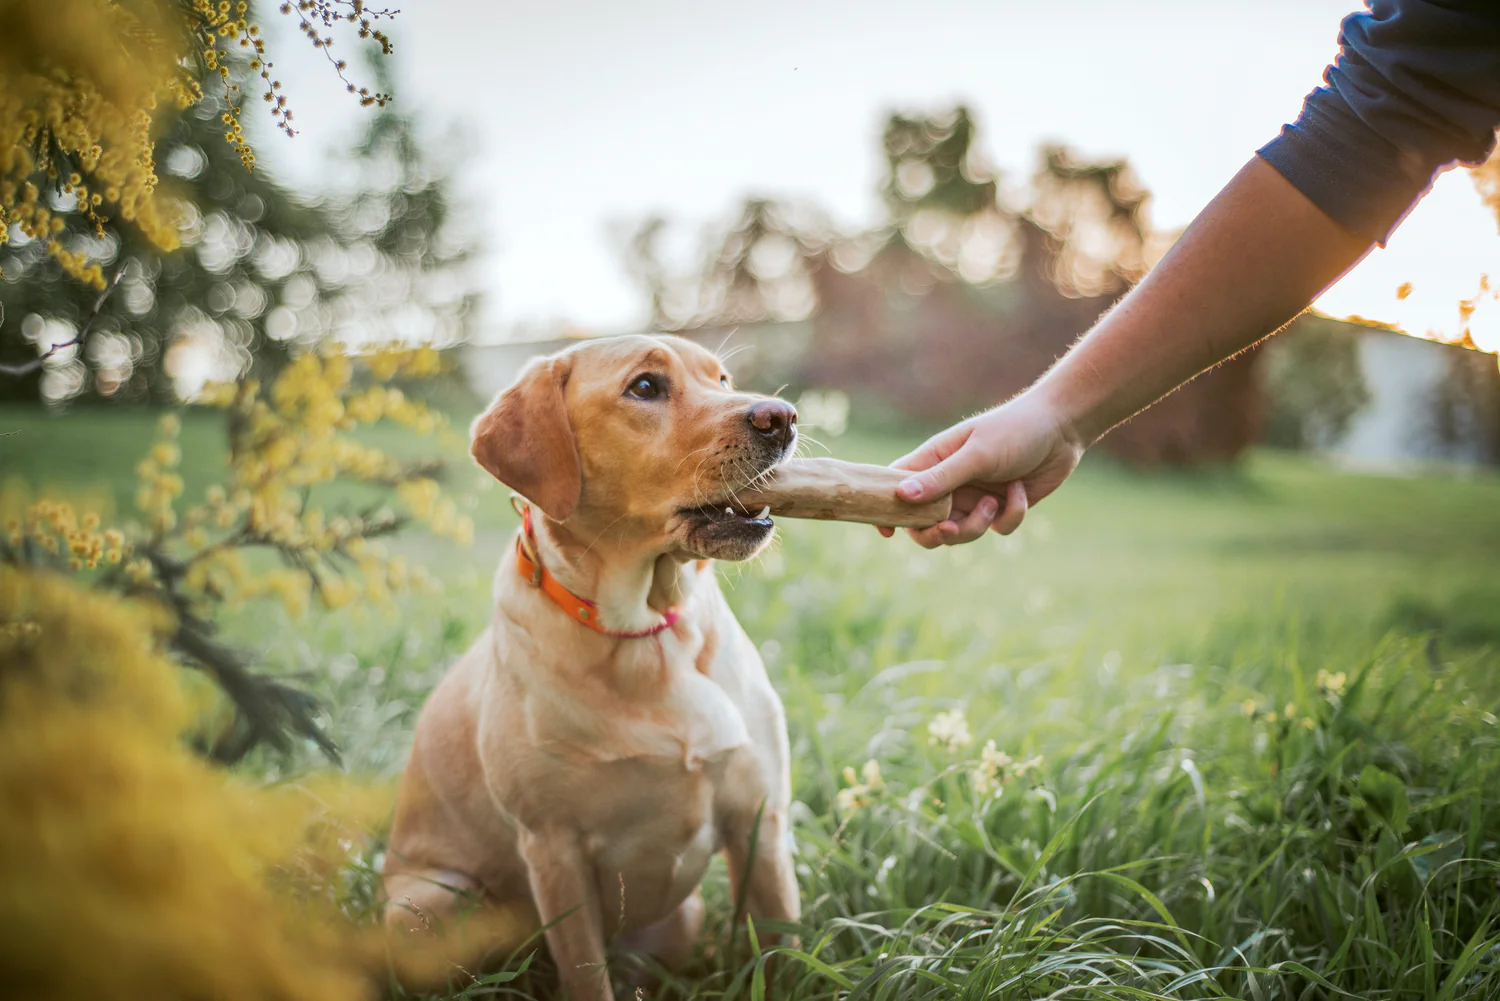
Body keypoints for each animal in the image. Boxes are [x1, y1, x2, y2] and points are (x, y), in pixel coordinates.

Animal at [387, 333, 804, 996]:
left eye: (722, 378)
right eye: (645, 387)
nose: (782, 417)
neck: (645, 630)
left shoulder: (760, 823)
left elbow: (785, 952)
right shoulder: (556, 853)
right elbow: (585, 975)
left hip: (684, 918)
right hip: (428, 902)